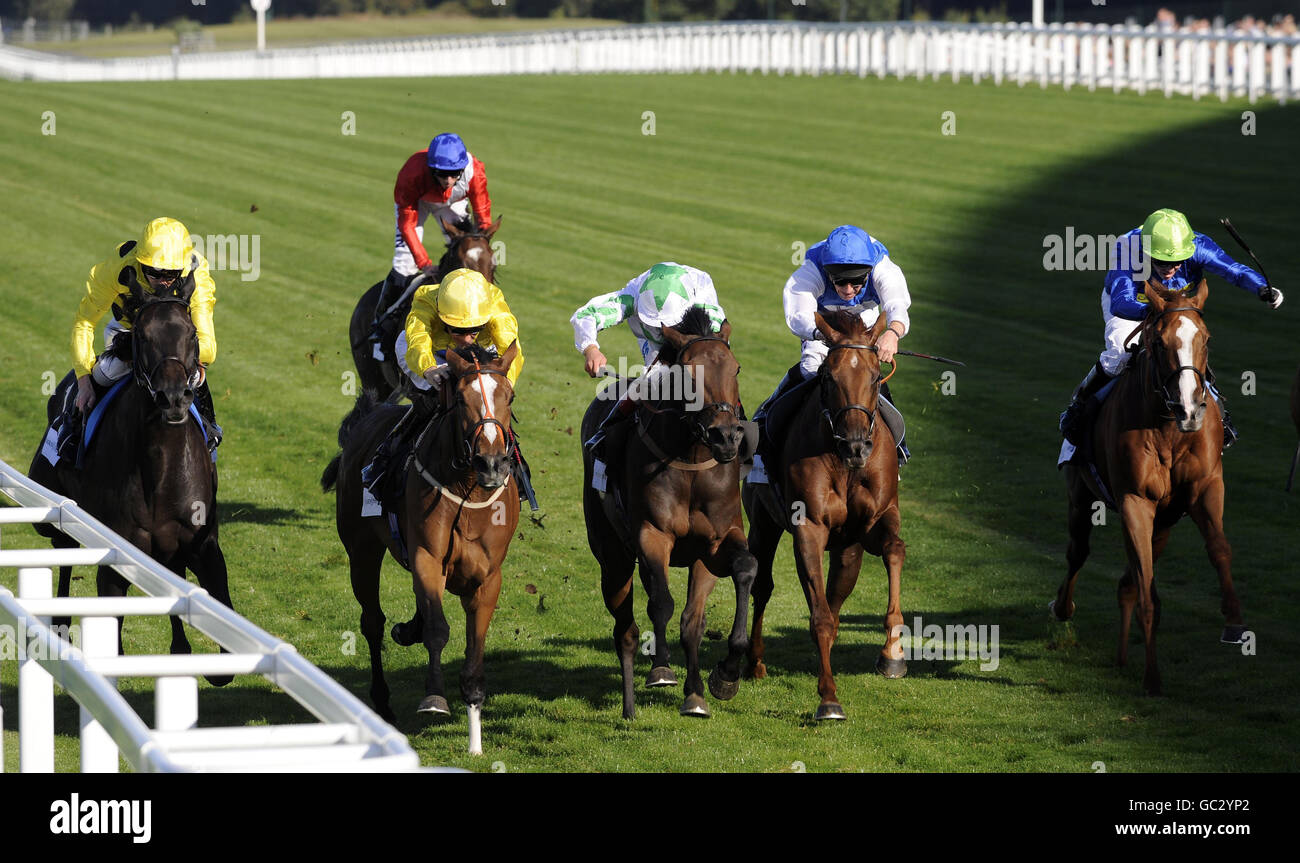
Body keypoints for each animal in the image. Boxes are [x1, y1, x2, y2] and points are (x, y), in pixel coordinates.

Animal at [322, 340, 520, 753]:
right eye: (461, 399)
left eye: (508, 396)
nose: (492, 464)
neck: (468, 491)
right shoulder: (427, 557)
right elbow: (438, 629)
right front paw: (435, 698)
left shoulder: (487, 577)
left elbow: (474, 647)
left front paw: (475, 736)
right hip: (361, 550)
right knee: (372, 622)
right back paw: (382, 701)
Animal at [582, 306, 759, 717]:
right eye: (688, 373)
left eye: (736, 368)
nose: (725, 436)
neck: (691, 461)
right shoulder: (653, 535)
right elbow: (662, 603)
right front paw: (662, 669)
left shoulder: (715, 544)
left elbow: (736, 577)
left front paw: (720, 679)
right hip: (612, 558)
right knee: (626, 629)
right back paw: (630, 706)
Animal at [743, 310, 904, 722]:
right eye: (829, 378)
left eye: (876, 375)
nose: (857, 445)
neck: (843, 463)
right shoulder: (809, 527)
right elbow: (819, 616)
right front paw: (828, 698)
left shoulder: (871, 522)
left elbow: (894, 549)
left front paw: (892, 653)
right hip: (762, 523)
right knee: (761, 587)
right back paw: (752, 662)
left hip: (847, 546)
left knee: (837, 594)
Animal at [1050, 279, 1242, 696]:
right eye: (1158, 341)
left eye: (1206, 338)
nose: (1190, 408)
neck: (1170, 429)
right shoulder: (1135, 501)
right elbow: (1148, 595)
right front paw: (1152, 678)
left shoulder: (1206, 487)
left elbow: (1219, 548)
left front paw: (1234, 623)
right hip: (1080, 495)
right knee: (1079, 553)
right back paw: (1062, 607)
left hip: (1164, 523)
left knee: (1127, 581)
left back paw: (1122, 658)